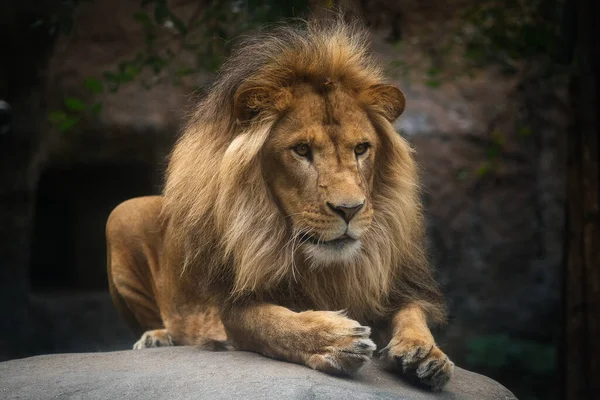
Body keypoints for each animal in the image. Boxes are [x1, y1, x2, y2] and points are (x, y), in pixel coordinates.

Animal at [108, 17, 454, 390]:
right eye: (302, 150)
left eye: (361, 148)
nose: (349, 209)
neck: (329, 269)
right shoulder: (231, 309)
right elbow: (274, 324)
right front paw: (337, 339)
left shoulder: (398, 287)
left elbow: (413, 313)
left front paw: (425, 353)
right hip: (121, 214)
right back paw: (157, 338)